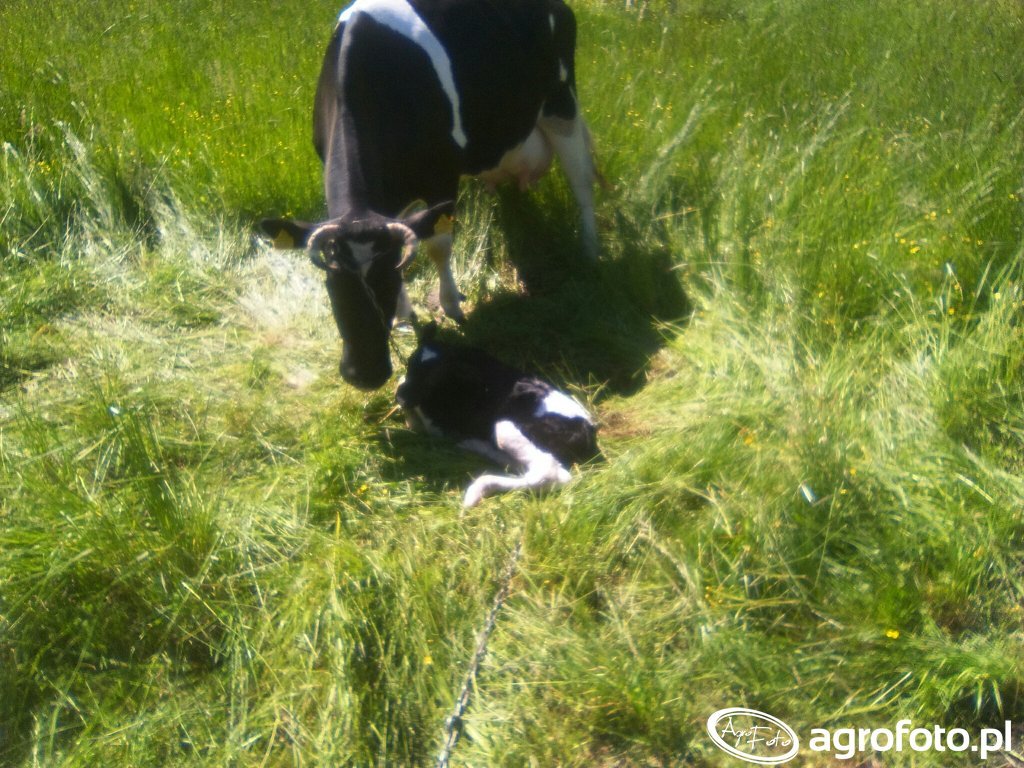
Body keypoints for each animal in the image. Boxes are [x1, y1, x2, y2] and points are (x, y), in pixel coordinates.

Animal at [261, 0, 599, 390]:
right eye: (332, 285)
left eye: (387, 282)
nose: (365, 374)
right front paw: (405, 316)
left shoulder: (442, 176)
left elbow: (438, 245)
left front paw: (451, 305)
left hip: (562, 104)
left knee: (582, 183)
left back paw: (591, 253)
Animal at [396, 325, 599, 506]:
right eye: (409, 364)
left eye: (433, 379)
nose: (401, 397)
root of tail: (587, 428)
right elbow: (400, 382)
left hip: (505, 428)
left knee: (549, 472)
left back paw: (479, 487)